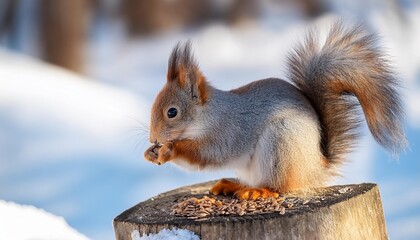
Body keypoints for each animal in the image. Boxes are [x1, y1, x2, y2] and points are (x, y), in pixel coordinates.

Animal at [144, 22, 406, 200]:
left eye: (172, 112)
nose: (153, 139)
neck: (207, 116)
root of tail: (315, 168)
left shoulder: (230, 131)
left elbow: (210, 154)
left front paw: (169, 150)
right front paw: (150, 153)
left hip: (281, 144)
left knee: (279, 187)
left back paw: (258, 191)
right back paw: (233, 186)